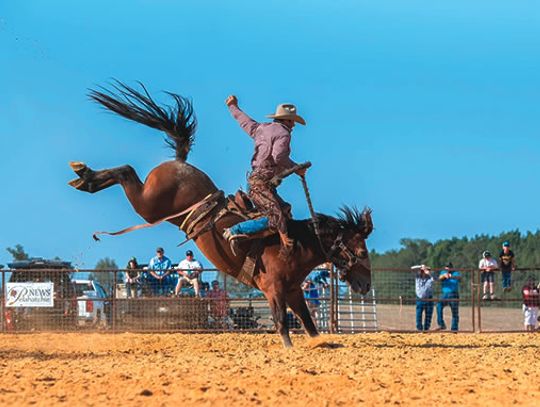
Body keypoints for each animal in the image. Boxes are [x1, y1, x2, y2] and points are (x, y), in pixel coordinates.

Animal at [67, 82, 374, 348]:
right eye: (361, 252)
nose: (365, 285)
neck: (299, 244)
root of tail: (180, 161)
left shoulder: (294, 290)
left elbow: (309, 324)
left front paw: (321, 343)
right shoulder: (273, 288)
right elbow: (281, 322)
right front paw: (289, 348)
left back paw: (84, 177)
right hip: (149, 204)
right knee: (127, 171)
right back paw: (85, 176)